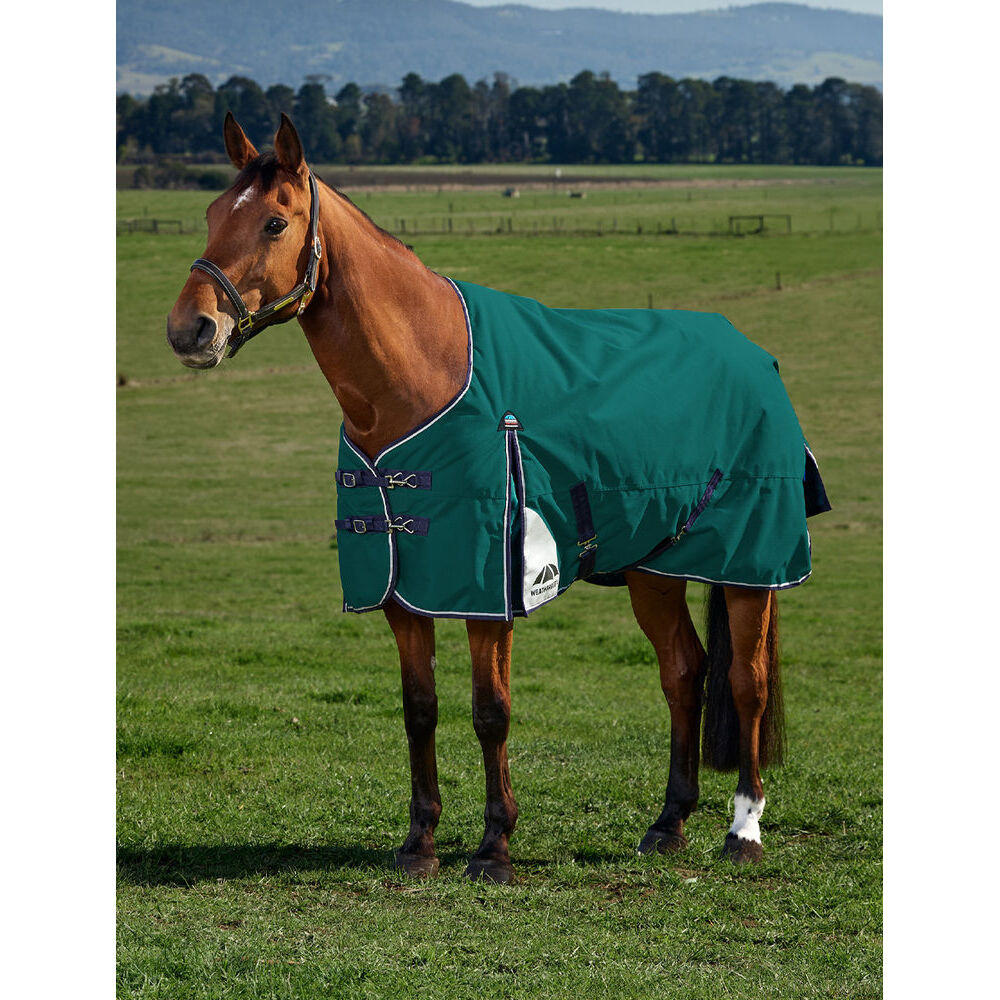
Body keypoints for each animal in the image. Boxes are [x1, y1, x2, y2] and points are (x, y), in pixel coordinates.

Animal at [166, 113, 826, 882]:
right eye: (213, 214)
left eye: (274, 222)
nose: (190, 329)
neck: (421, 379)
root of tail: (755, 356)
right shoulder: (404, 593)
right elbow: (419, 708)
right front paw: (419, 842)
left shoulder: (489, 592)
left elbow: (491, 711)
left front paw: (494, 846)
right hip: (654, 569)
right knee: (684, 673)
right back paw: (668, 823)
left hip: (749, 566)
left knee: (746, 682)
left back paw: (743, 828)